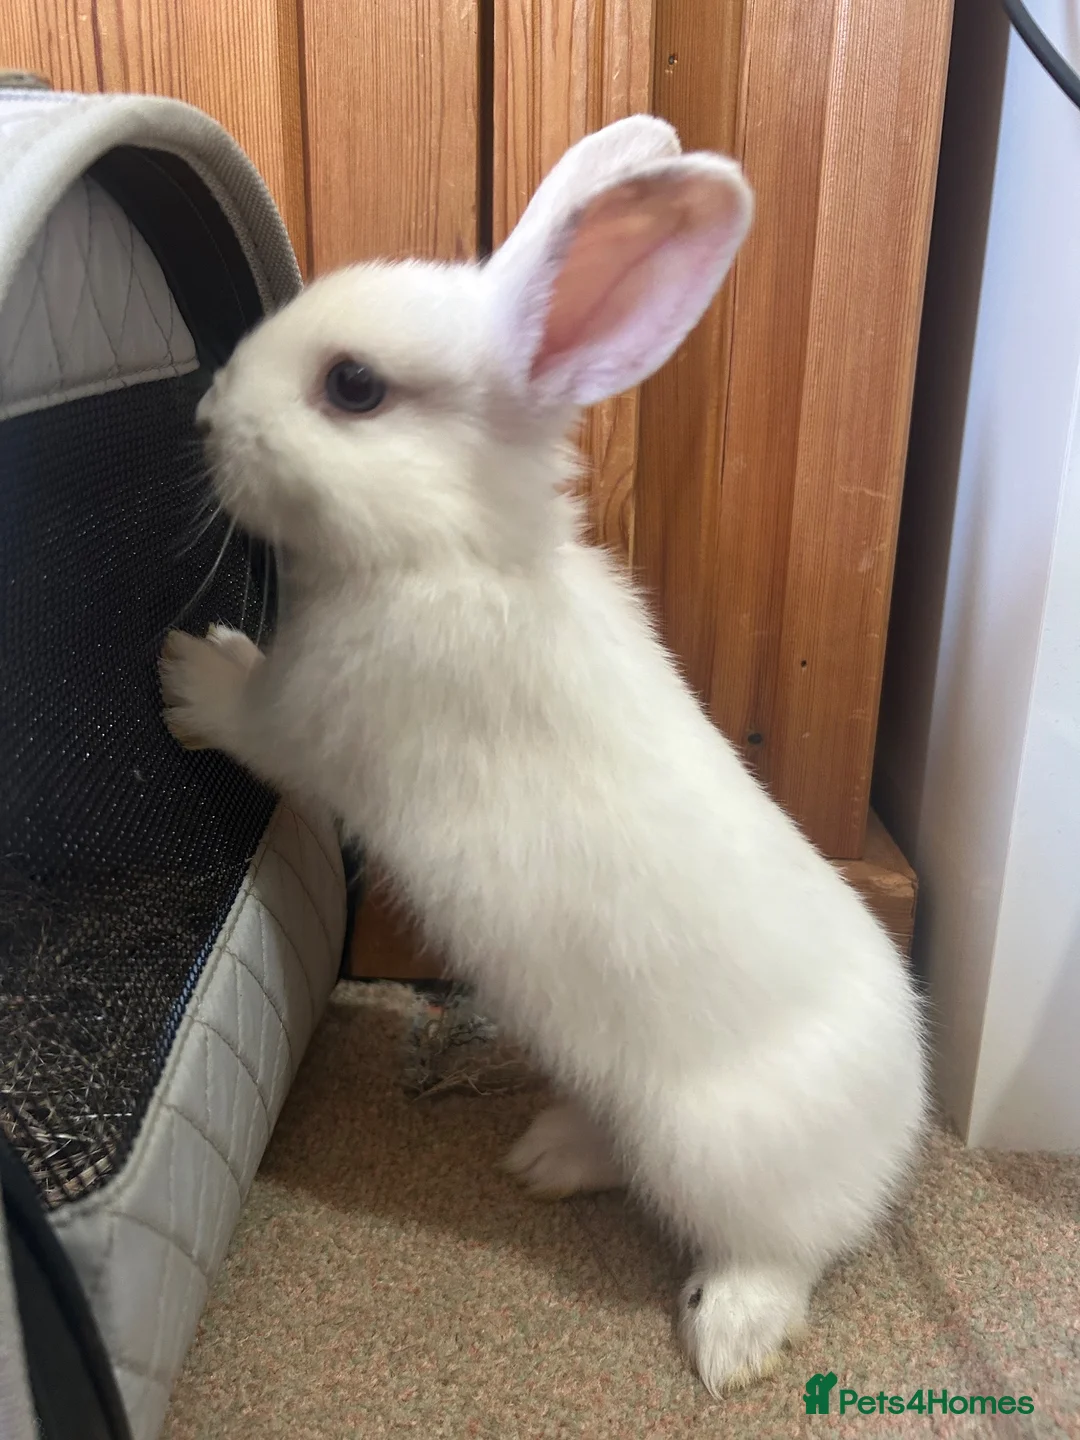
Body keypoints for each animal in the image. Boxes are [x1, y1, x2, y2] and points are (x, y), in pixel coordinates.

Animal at [160, 114, 927, 1396]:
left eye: (353, 387)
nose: (207, 419)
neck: (445, 549)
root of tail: (902, 1122)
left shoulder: (312, 719)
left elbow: (253, 723)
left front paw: (184, 673)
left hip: (726, 1161)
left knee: (783, 1250)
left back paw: (727, 1338)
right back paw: (547, 1156)